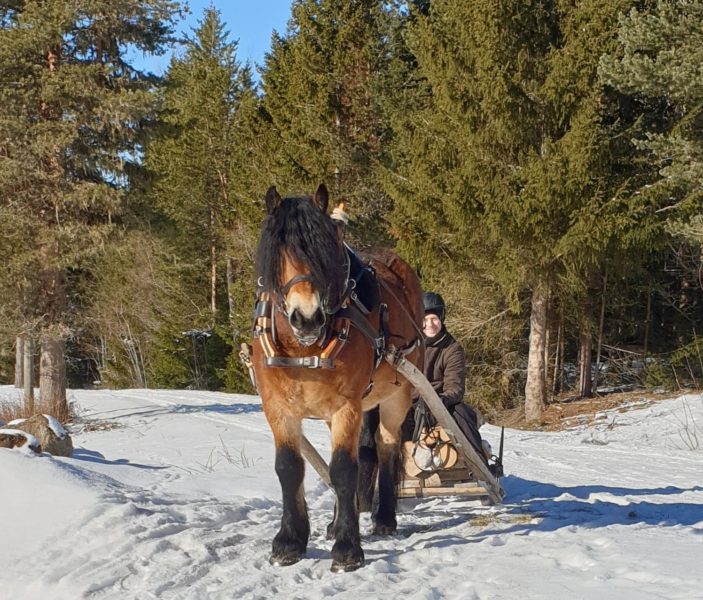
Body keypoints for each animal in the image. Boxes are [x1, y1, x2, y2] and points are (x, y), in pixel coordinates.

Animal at [253, 183, 424, 572]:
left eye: (326, 252)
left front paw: (348, 547)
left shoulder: (347, 406)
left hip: (397, 395)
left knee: (387, 447)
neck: (304, 350)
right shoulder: (278, 408)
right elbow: (289, 468)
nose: (307, 317)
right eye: (277, 251)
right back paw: (336, 521)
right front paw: (291, 540)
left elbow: (345, 469)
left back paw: (384, 518)